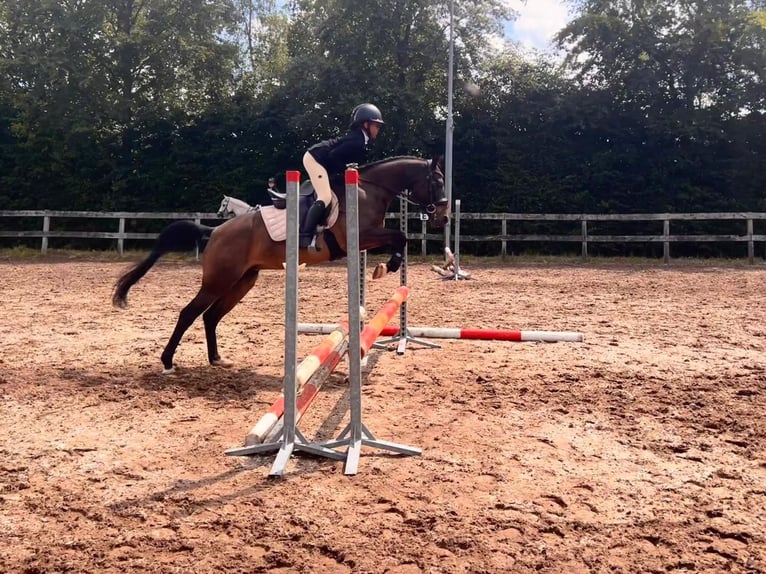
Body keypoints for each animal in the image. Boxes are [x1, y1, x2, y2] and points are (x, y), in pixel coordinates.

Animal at [113, 156, 450, 374]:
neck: (370, 189)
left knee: (210, 316)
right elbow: (400, 236)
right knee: (189, 313)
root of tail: (216, 231)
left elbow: (400, 237)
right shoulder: (362, 235)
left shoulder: (367, 238)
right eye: (436, 182)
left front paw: (385, 267)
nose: (443, 218)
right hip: (219, 280)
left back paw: (217, 358)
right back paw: (168, 362)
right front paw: (386, 267)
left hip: (243, 281)